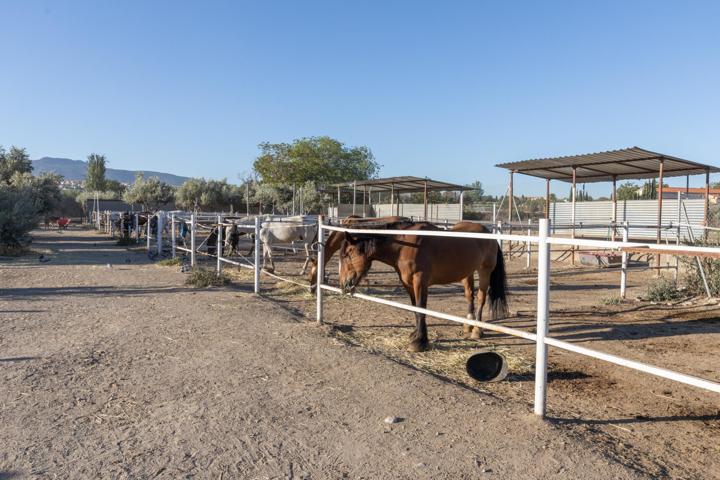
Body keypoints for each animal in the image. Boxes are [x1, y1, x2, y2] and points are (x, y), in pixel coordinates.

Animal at [338, 219, 506, 350]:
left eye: (347, 255)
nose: (343, 285)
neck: (403, 246)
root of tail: (489, 233)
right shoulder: (408, 284)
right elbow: (415, 309)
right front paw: (416, 335)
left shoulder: (420, 281)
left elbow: (421, 308)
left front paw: (419, 342)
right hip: (467, 272)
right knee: (469, 295)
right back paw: (468, 324)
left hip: (484, 271)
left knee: (481, 297)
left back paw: (477, 330)